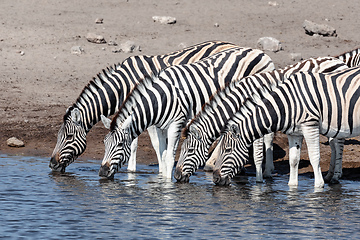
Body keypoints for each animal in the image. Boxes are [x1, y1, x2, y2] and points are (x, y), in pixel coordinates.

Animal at [47, 39, 239, 172]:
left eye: (69, 137)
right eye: (58, 136)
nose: (52, 165)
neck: (123, 85)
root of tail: (230, 44)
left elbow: (143, 144)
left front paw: (135, 171)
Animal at [100, 46, 274, 178]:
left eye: (120, 144)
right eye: (105, 143)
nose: (102, 172)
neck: (160, 98)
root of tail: (261, 52)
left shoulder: (176, 123)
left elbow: (169, 157)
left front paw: (167, 186)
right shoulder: (160, 125)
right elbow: (162, 153)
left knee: (267, 136)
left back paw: (266, 172)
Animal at [175, 56, 348, 184]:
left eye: (189, 151)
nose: (176, 176)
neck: (241, 99)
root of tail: (338, 61)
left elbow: (258, 151)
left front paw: (259, 179)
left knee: (338, 142)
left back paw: (336, 176)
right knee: (334, 142)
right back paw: (330, 174)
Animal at [212, 66, 360, 188]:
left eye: (227, 150)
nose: (215, 179)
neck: (288, 104)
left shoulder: (310, 125)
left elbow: (314, 157)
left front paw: (318, 186)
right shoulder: (294, 133)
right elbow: (293, 160)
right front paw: (292, 187)